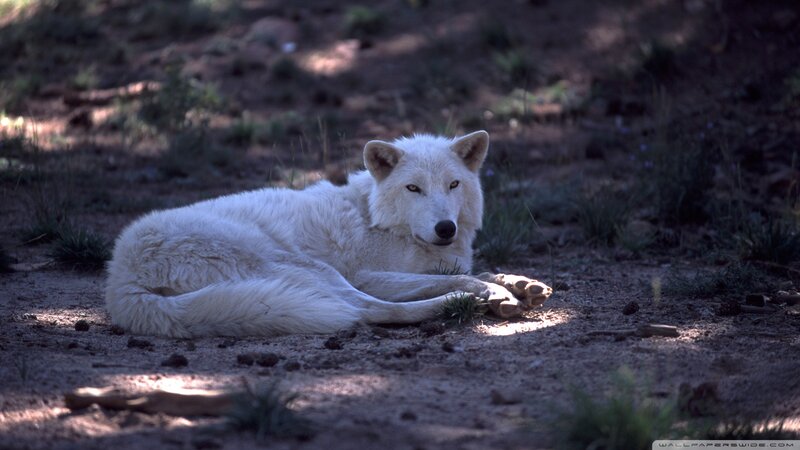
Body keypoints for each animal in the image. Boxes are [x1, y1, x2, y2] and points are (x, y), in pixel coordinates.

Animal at [105, 130, 552, 337]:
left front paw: (519, 283)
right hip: (309, 269)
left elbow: (476, 270)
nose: (446, 228)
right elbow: (459, 277)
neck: (377, 217)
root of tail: (120, 280)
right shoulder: (369, 275)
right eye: (413, 188)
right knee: (365, 310)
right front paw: (496, 293)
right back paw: (453, 305)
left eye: (454, 185)